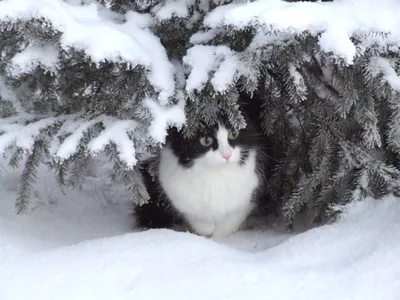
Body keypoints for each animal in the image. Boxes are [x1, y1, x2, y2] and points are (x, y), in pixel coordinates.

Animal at [135, 96, 268, 237]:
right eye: (206, 140)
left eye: (233, 133)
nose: (227, 155)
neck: (216, 175)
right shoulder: (179, 196)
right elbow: (201, 223)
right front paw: (205, 232)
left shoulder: (247, 198)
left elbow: (226, 225)